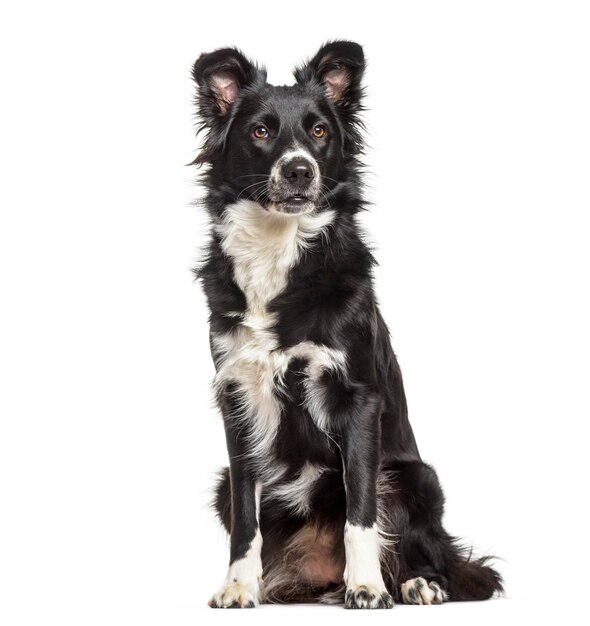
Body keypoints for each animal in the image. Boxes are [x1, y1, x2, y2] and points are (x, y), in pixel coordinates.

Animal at [191, 41, 504, 608]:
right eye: (261, 131)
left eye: (319, 131)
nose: (299, 171)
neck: (281, 255)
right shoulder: (237, 398)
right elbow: (246, 519)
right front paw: (239, 587)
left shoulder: (358, 399)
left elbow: (361, 511)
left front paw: (367, 586)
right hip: (223, 481)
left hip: (415, 477)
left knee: (430, 551)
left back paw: (417, 582)